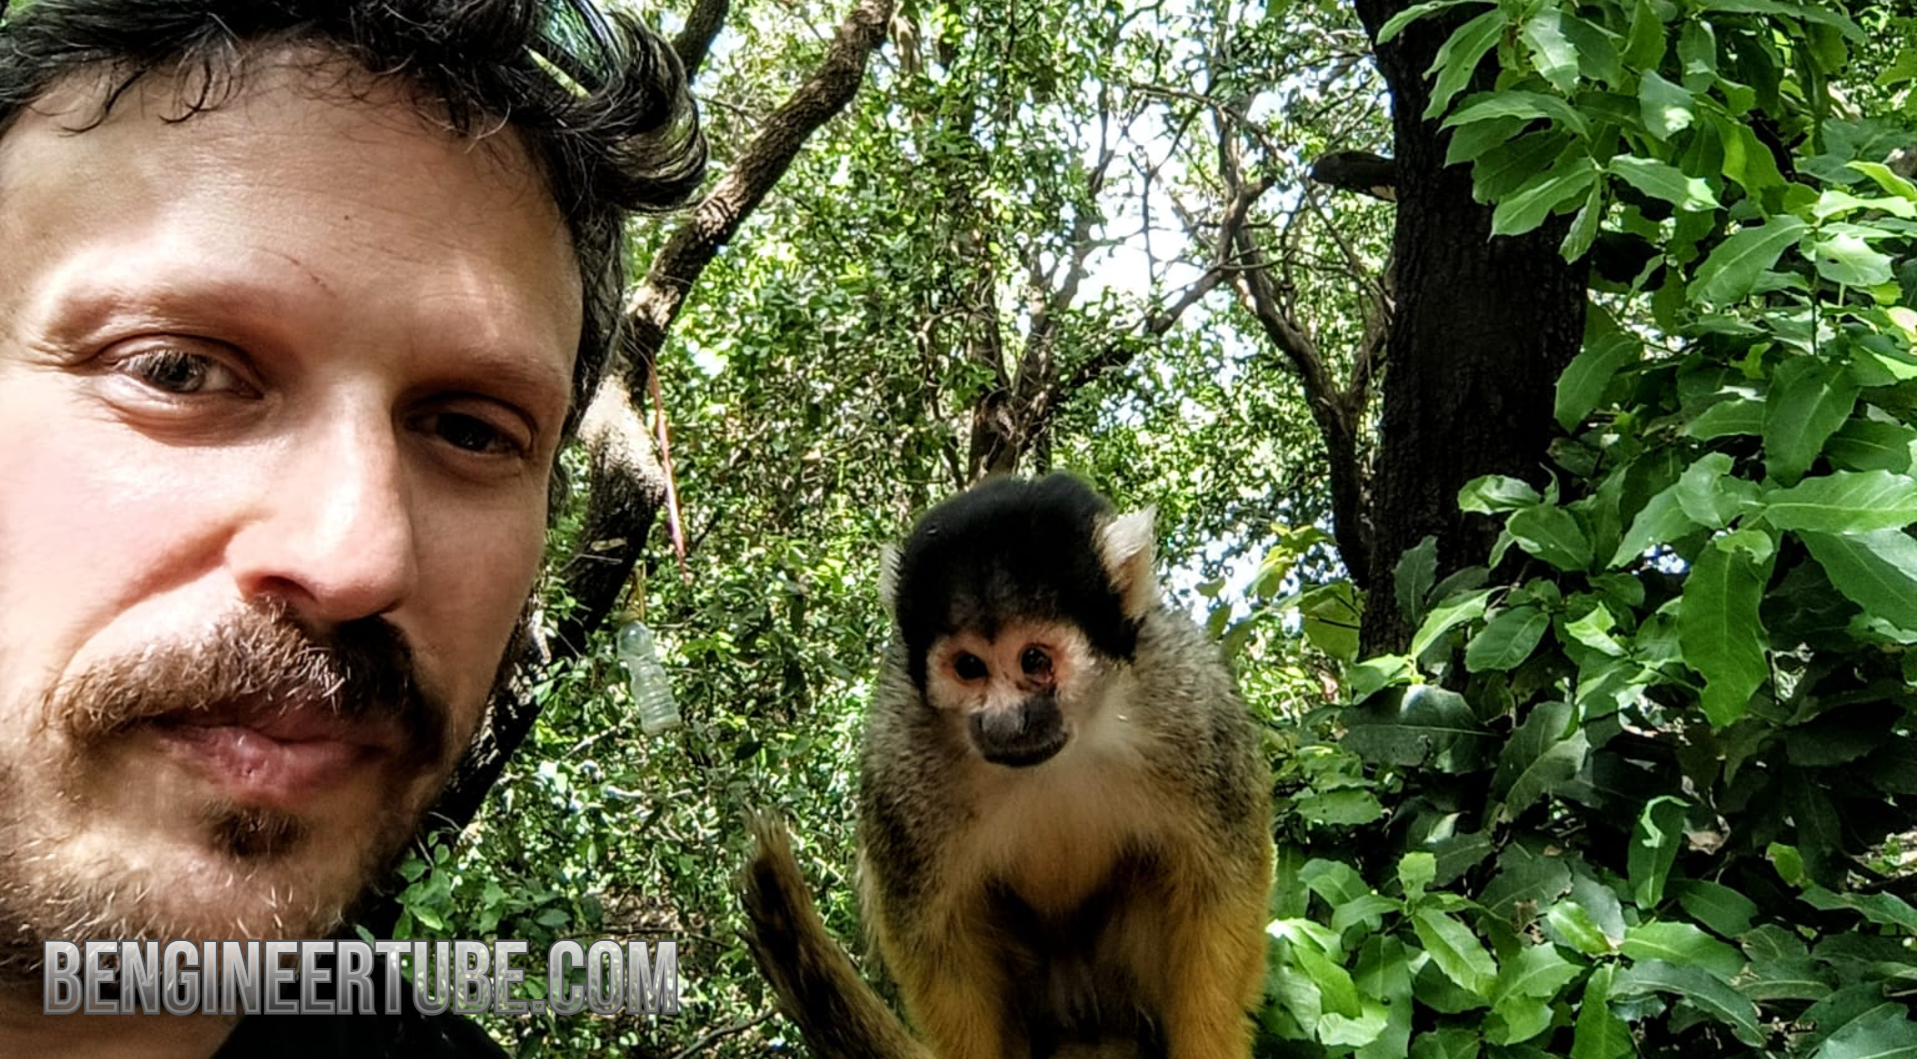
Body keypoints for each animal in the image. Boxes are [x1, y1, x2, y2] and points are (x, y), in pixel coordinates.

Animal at [743, 473, 1273, 1059]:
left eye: (1034, 661)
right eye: (969, 668)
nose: (1004, 722)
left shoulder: (1188, 701)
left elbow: (1223, 882)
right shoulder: (898, 759)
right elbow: (934, 937)